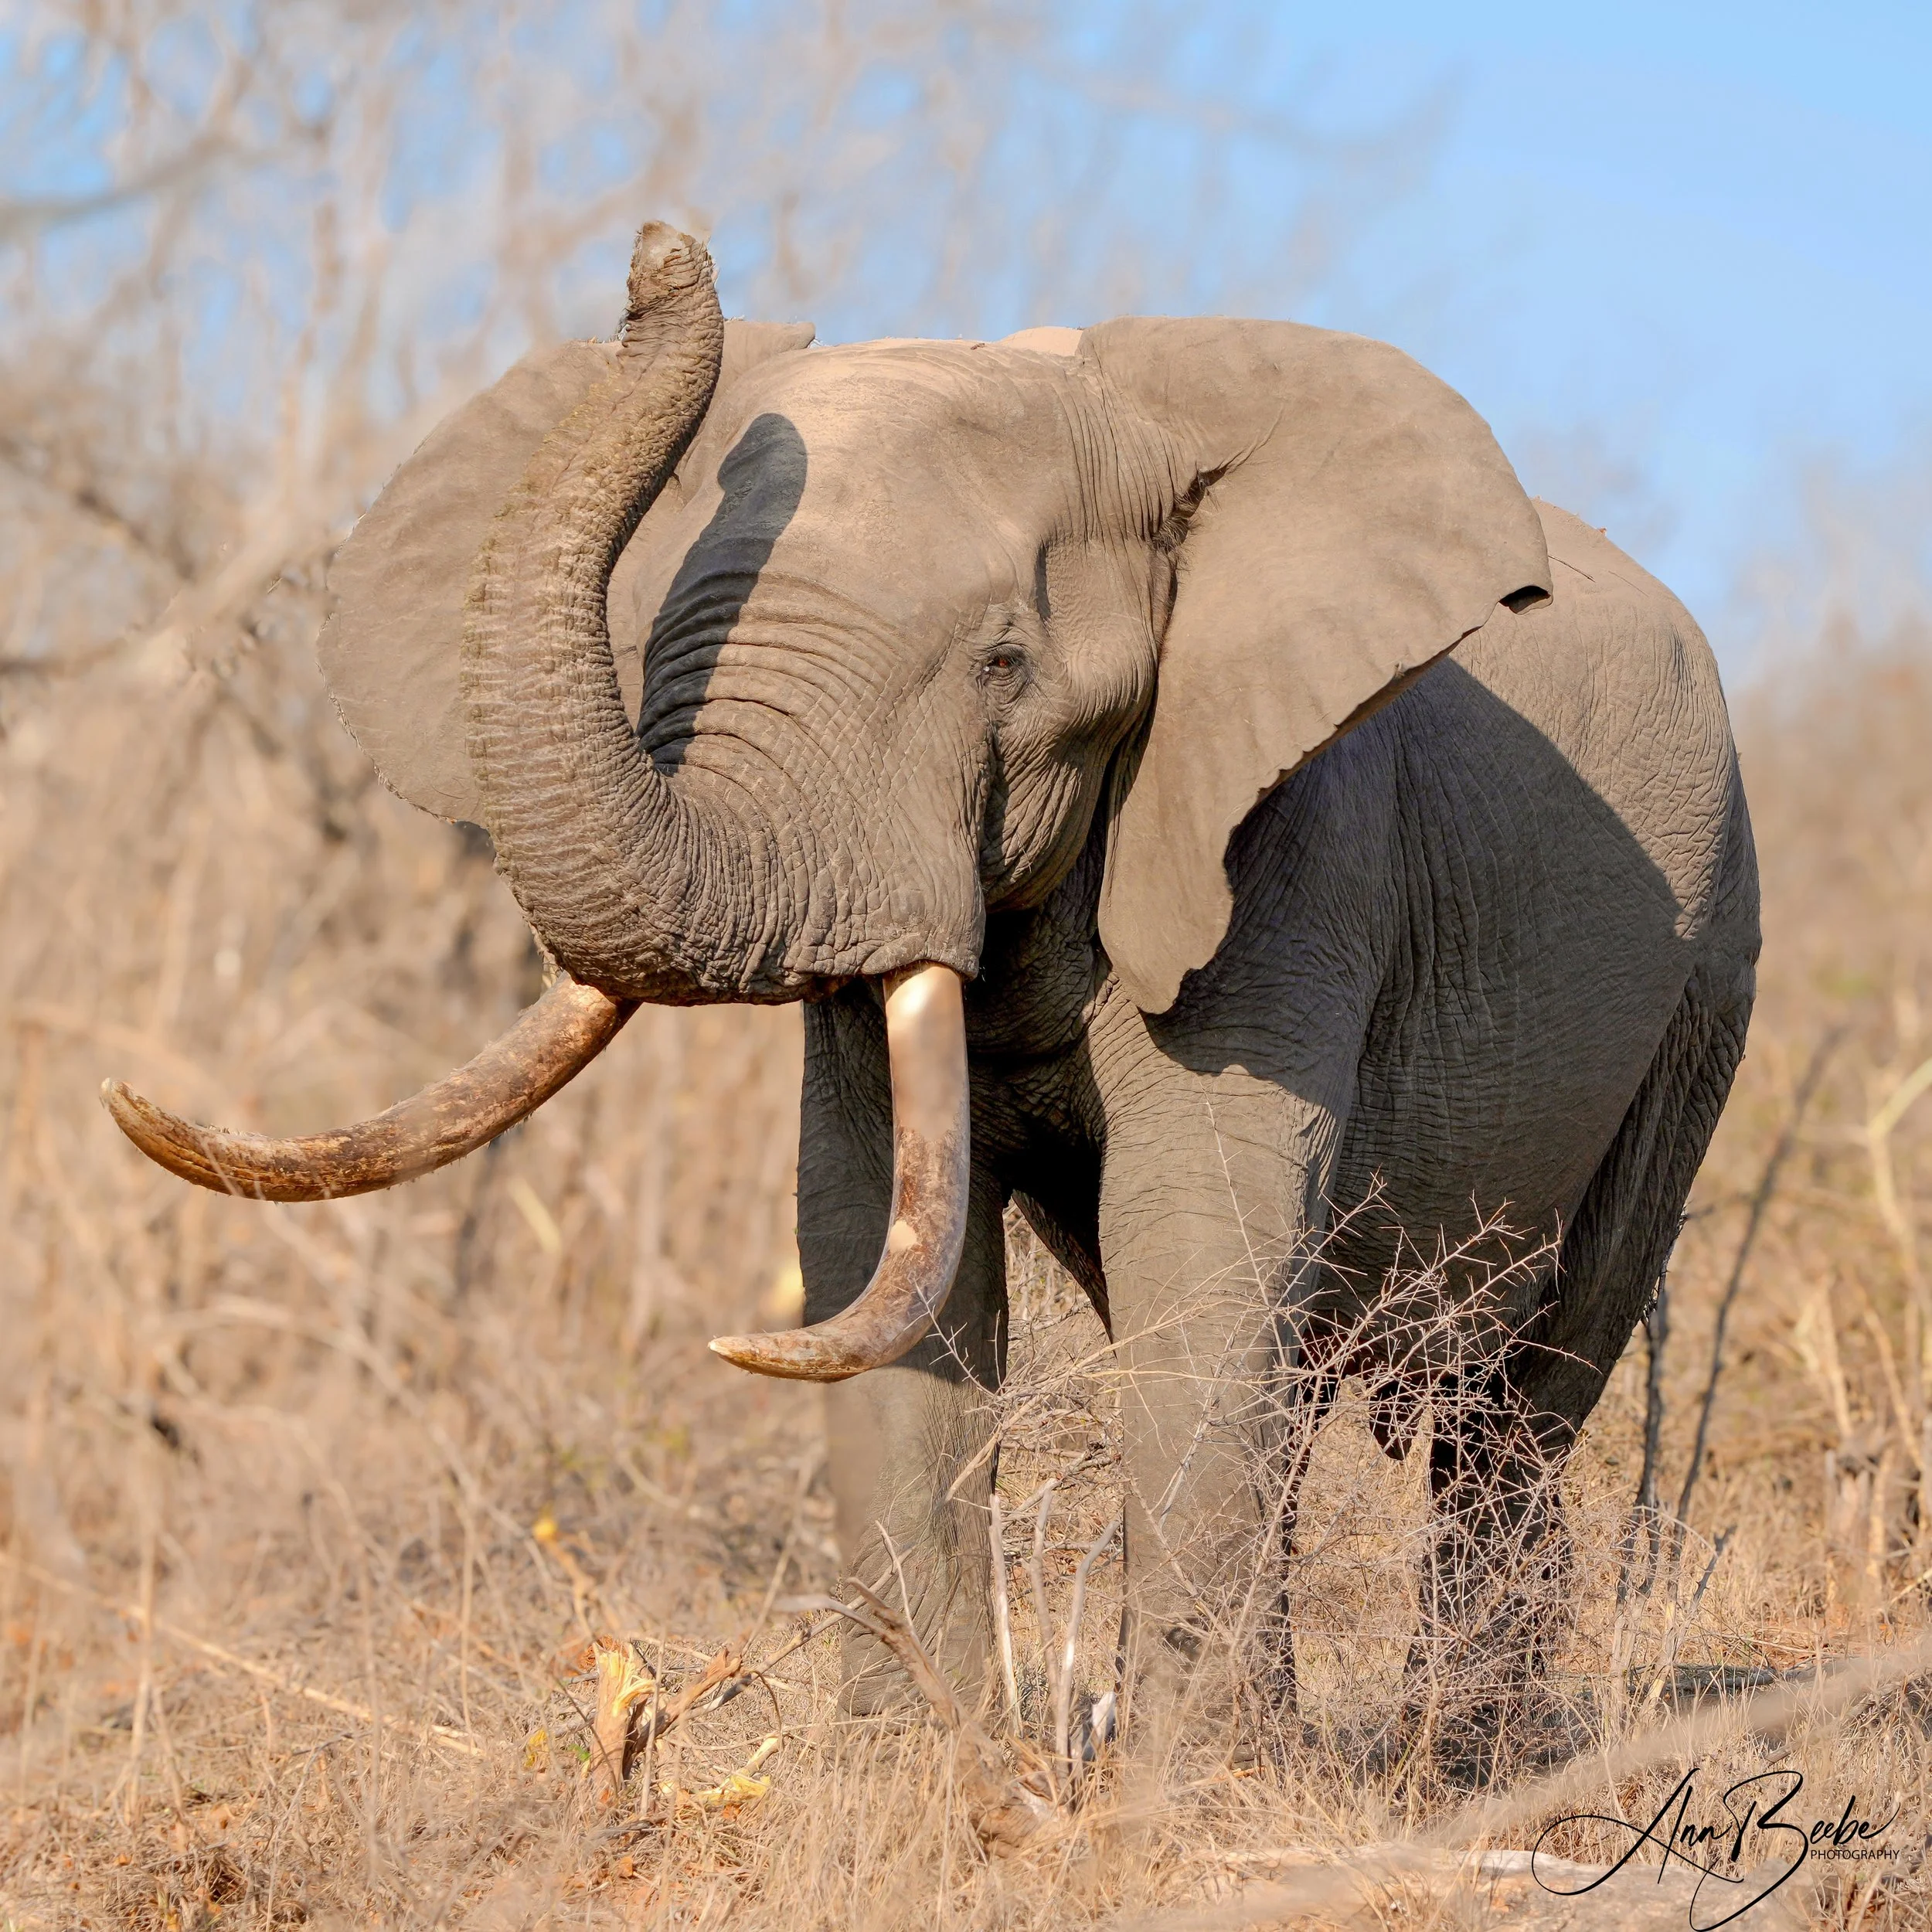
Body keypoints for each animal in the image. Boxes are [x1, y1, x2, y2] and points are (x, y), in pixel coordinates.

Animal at [108, 224, 1759, 1760]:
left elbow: (1190, 1228)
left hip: (1706, 983)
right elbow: (870, 1234)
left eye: (1002, 667)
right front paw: (930, 1780)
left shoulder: (1287, 838)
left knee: (1513, 1408)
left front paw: (1183, 1802)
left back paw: (1457, 1762)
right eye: (656, 652)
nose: (662, 254)